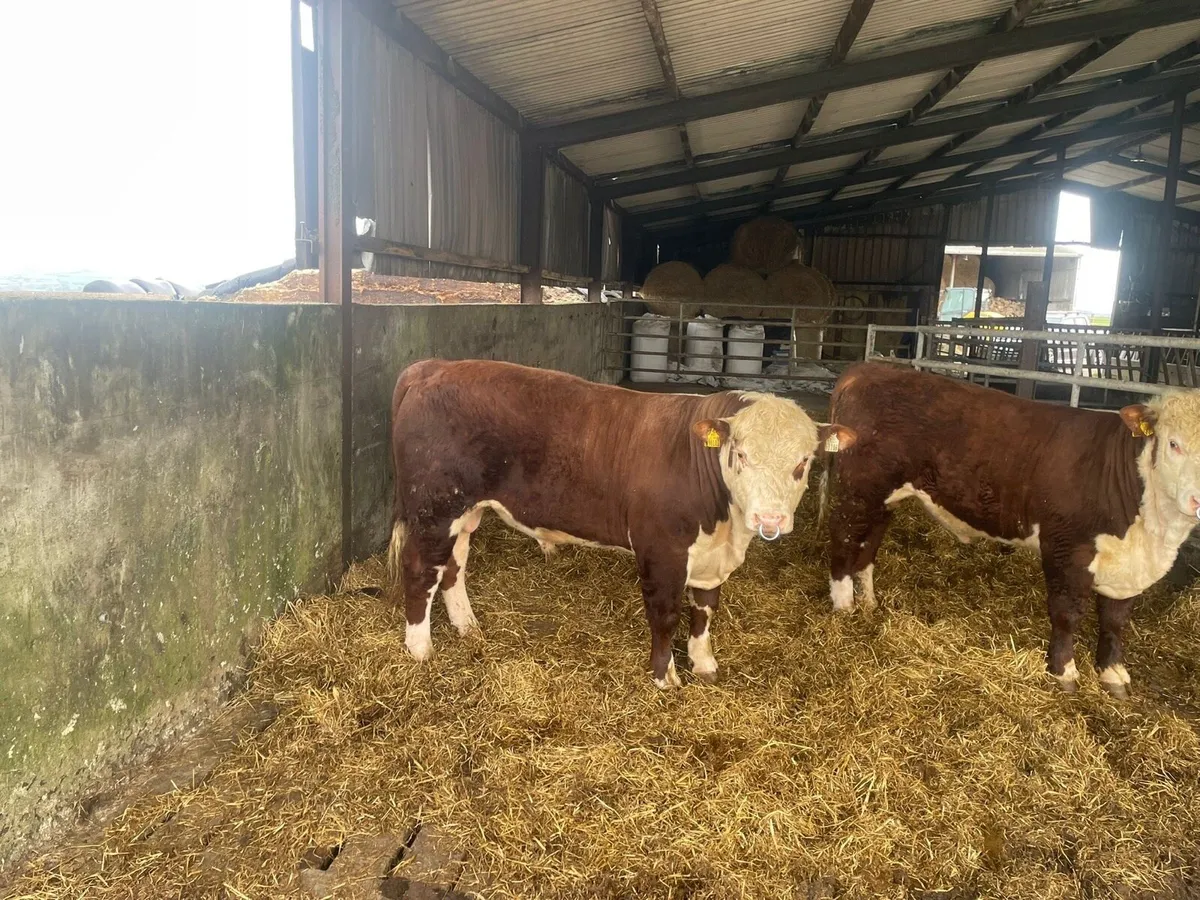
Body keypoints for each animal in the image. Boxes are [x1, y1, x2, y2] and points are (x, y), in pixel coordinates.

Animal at [388, 359, 856, 688]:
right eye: (740, 454)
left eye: (804, 462)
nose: (770, 518)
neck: (726, 527)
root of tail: (432, 367)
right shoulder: (661, 551)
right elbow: (665, 614)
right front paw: (665, 677)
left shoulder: (710, 556)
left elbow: (704, 609)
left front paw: (704, 664)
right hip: (434, 507)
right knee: (421, 569)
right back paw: (420, 649)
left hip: (464, 512)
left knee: (453, 566)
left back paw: (468, 628)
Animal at [822, 361, 1200, 698]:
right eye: (1173, 444)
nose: (1198, 499)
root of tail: (868, 368)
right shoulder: (1065, 547)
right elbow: (1067, 613)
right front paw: (1064, 672)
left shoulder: (1129, 566)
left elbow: (1115, 619)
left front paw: (1113, 673)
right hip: (857, 491)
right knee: (843, 541)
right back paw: (844, 607)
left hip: (883, 498)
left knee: (868, 545)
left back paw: (869, 602)